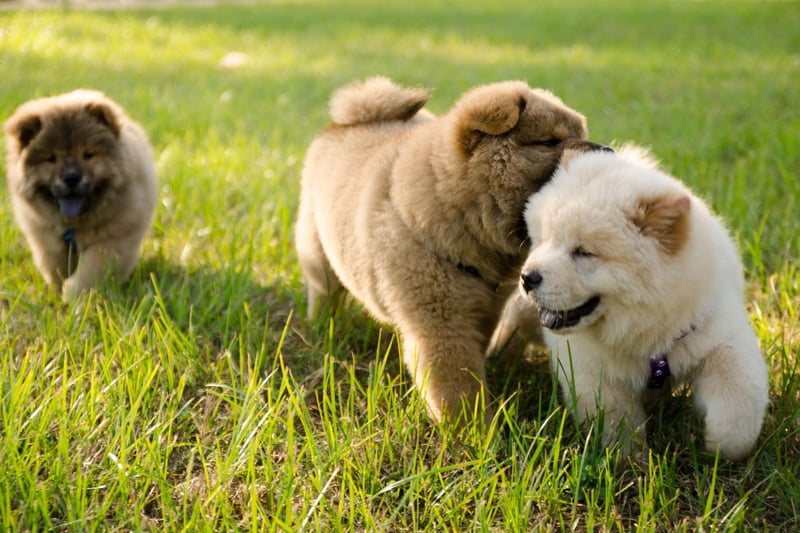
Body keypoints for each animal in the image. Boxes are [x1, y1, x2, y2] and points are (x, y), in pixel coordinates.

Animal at [3, 89, 158, 302]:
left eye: (88, 155)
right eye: (51, 159)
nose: (71, 177)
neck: (74, 225)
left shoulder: (112, 241)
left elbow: (90, 271)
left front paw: (74, 296)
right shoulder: (46, 239)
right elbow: (55, 267)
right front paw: (58, 290)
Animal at [296, 76, 608, 424]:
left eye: (582, 134)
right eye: (549, 142)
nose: (607, 150)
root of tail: (340, 124)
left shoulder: (486, 308)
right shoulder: (441, 322)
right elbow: (456, 383)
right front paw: (474, 430)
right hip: (317, 249)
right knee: (324, 289)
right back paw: (323, 325)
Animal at [520, 144, 768, 458]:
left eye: (584, 252)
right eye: (543, 241)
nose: (527, 277)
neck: (644, 332)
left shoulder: (716, 335)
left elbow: (739, 401)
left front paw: (719, 449)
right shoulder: (592, 372)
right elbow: (616, 421)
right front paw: (627, 459)